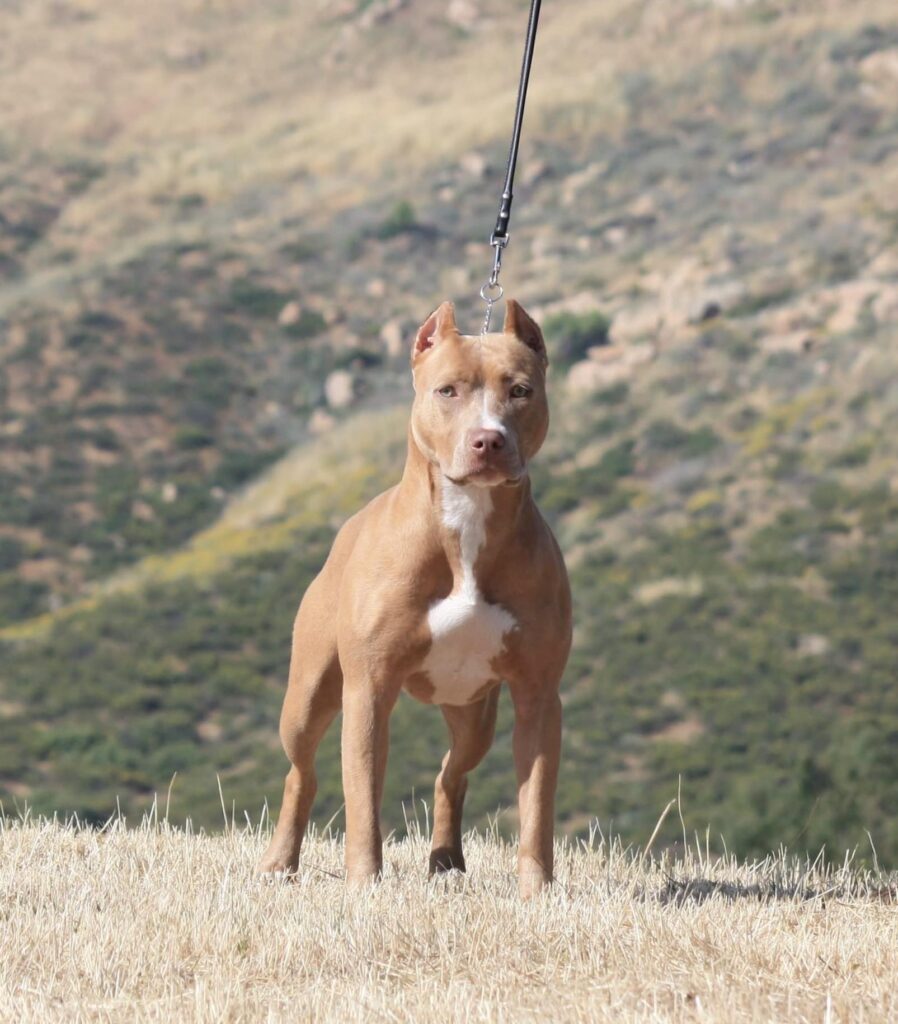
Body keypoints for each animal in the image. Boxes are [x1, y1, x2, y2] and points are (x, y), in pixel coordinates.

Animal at [255, 299, 569, 897]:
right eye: (447, 390)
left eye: (520, 391)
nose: (488, 439)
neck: (467, 522)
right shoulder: (369, 689)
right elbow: (363, 799)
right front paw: (364, 882)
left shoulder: (538, 695)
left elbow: (537, 804)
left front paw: (537, 889)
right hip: (307, 698)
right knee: (301, 774)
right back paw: (280, 862)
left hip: (474, 713)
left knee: (451, 773)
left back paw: (446, 859)